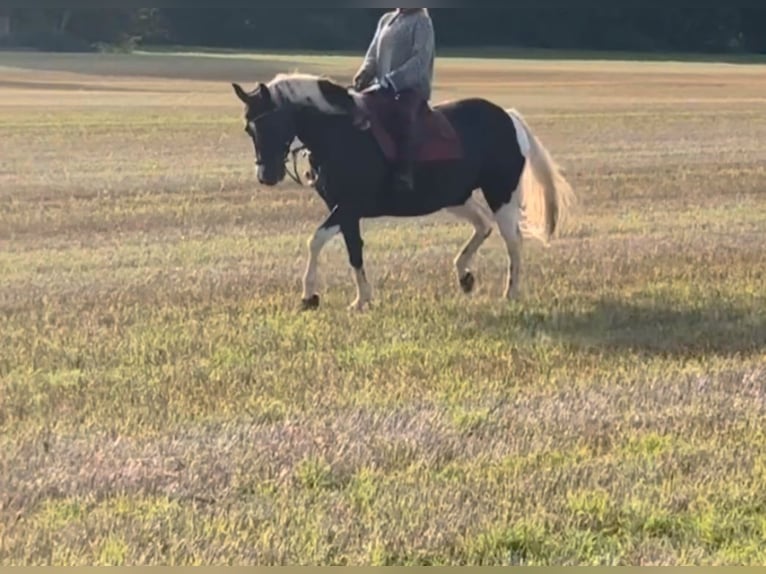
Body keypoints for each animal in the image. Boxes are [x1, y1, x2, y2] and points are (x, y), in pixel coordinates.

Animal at [231, 72, 574, 311]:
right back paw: (464, 275)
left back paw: (510, 292)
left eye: (272, 123)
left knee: (512, 241)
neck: (341, 135)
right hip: (455, 197)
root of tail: (508, 117)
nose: (266, 176)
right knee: (482, 225)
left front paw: (309, 296)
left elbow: (315, 241)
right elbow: (354, 251)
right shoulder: (345, 211)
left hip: (500, 194)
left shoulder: (348, 206)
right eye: (249, 128)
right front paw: (361, 299)